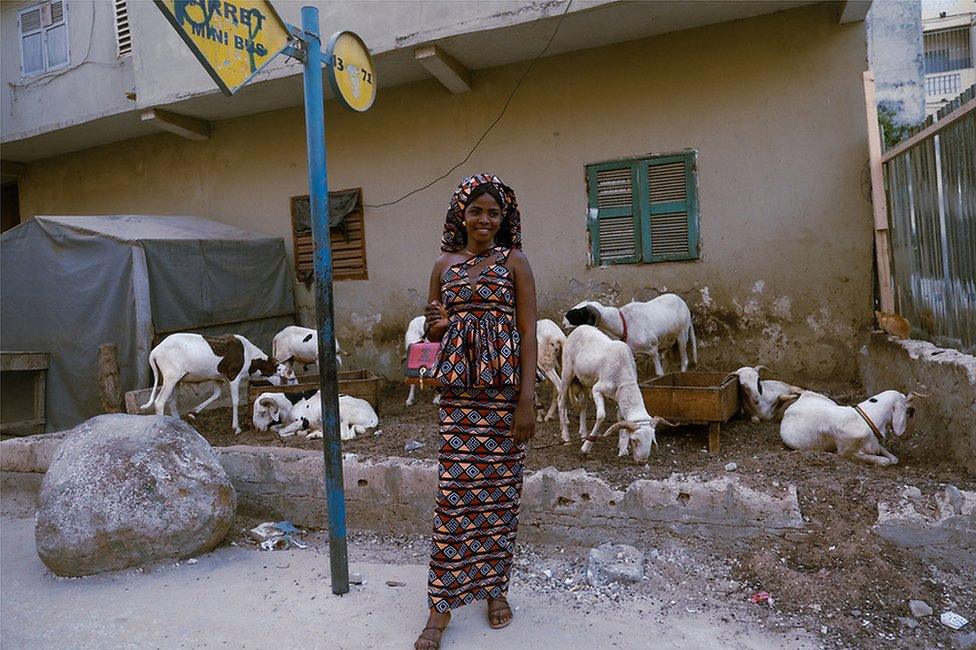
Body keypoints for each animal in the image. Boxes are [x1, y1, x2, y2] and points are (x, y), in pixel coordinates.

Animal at [140, 332, 294, 432]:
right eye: (282, 374)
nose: (285, 388)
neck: (248, 355)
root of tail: (155, 351)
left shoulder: (217, 378)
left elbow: (216, 395)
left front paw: (193, 412)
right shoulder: (234, 376)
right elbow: (235, 401)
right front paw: (236, 427)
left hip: (177, 380)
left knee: (172, 402)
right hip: (171, 378)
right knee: (160, 402)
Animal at [556, 324, 672, 460]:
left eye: (651, 440)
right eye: (635, 440)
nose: (642, 461)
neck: (624, 377)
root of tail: (578, 328)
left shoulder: (618, 396)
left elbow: (621, 418)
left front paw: (622, 448)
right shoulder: (597, 389)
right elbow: (601, 416)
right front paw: (585, 448)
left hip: (585, 381)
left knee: (583, 404)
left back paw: (584, 433)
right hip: (567, 370)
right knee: (561, 400)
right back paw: (566, 437)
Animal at [776, 388, 924, 464]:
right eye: (904, 400)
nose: (913, 409)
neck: (866, 419)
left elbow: (892, 458)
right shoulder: (846, 452)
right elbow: (884, 461)